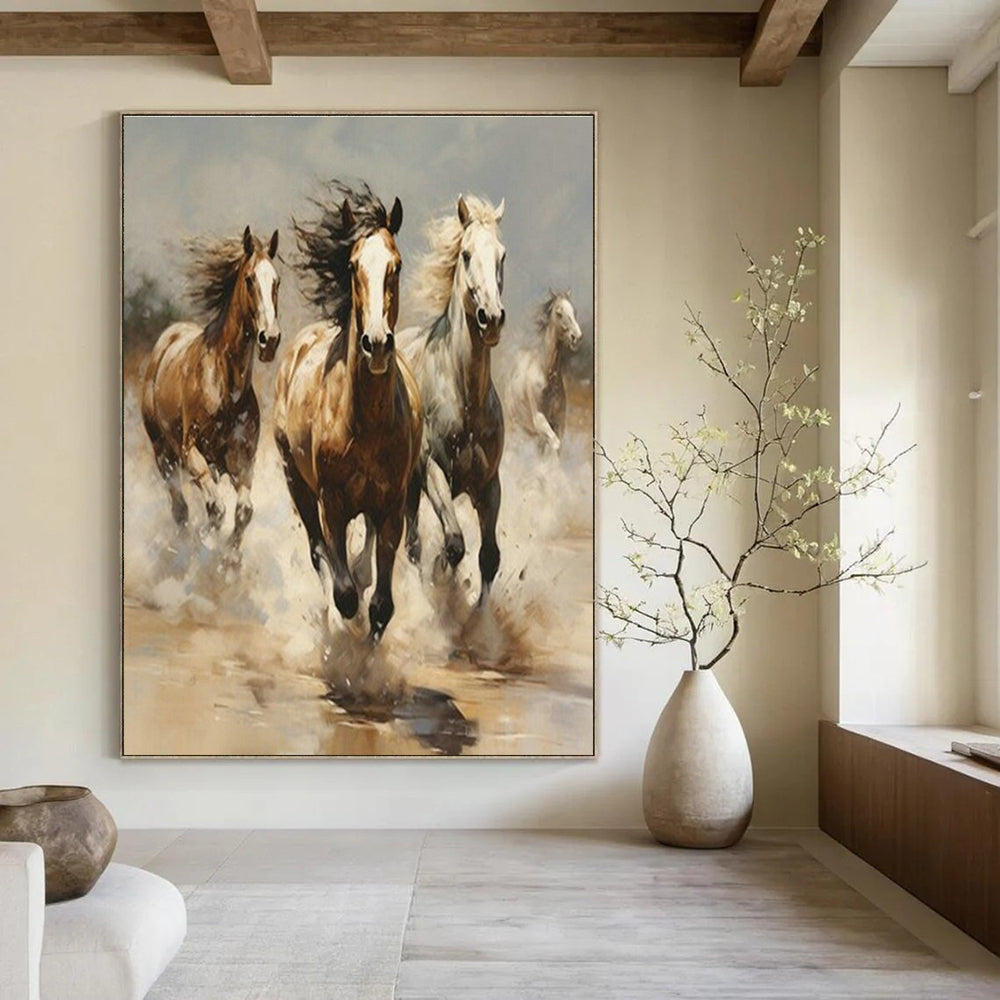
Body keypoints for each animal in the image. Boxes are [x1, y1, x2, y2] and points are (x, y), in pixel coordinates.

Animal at [140, 226, 281, 552]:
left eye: (276, 281)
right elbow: (216, 510)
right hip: (163, 456)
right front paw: (208, 544)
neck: (224, 388)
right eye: (249, 279)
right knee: (180, 509)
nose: (270, 339)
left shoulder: (243, 461)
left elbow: (243, 511)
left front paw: (230, 559)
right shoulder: (191, 453)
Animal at [273, 182, 422, 643]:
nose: (377, 343)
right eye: (353, 264)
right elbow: (345, 593)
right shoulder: (332, 503)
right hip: (297, 484)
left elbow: (381, 605)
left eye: (396, 265)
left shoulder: (391, 507)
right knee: (318, 552)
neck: (365, 421)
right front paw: (342, 637)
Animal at [398, 194, 507, 604]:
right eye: (465, 254)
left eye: (502, 255)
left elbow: (489, 556)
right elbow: (454, 544)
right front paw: (442, 580)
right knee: (411, 544)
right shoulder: (433, 473)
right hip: (408, 488)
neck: (466, 399)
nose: (491, 318)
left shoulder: (489, 486)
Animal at [506, 291, 583, 453]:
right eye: (559, 313)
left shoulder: (559, 422)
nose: (576, 337)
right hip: (515, 426)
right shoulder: (539, 419)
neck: (547, 376)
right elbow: (555, 445)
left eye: (574, 311)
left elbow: (557, 448)